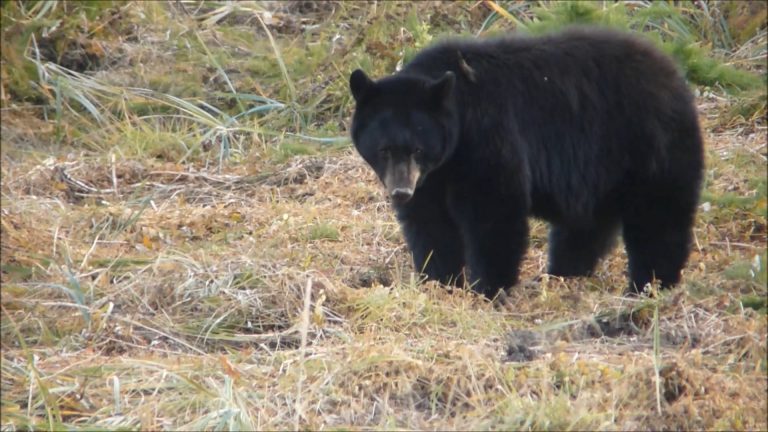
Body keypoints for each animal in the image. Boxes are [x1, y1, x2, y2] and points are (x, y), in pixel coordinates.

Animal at [349, 26, 704, 298]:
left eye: (417, 150)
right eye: (384, 150)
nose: (400, 191)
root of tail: (674, 74)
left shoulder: (488, 137)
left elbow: (493, 210)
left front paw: (489, 289)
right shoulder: (434, 177)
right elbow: (430, 222)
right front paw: (440, 281)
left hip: (649, 146)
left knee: (659, 219)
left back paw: (649, 286)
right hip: (600, 171)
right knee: (585, 225)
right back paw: (564, 274)